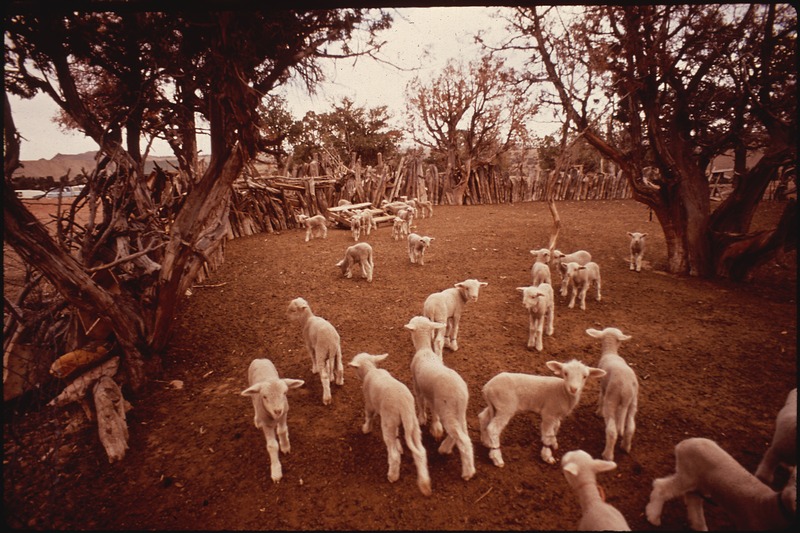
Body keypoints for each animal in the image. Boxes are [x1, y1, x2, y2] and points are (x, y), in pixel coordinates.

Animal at [348, 354, 432, 494]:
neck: (371, 370)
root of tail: (403, 405)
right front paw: (399, 444)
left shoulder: (369, 404)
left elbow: (369, 416)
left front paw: (366, 429)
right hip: (412, 423)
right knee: (420, 452)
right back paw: (424, 483)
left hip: (388, 422)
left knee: (394, 454)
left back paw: (393, 476)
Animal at [406, 314, 476, 480]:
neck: (424, 349)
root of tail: (462, 393)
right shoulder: (433, 397)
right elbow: (433, 411)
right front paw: (435, 428)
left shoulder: (417, 386)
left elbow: (420, 403)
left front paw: (422, 419)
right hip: (457, 411)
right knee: (462, 433)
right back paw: (445, 448)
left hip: (448, 409)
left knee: (462, 438)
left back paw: (468, 472)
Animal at [476, 358, 608, 466]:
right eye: (565, 373)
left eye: (585, 376)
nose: (574, 389)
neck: (562, 392)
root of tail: (487, 388)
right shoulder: (548, 413)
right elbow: (548, 434)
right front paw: (547, 456)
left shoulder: (556, 414)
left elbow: (555, 428)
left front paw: (554, 444)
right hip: (505, 406)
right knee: (493, 428)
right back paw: (497, 458)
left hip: (495, 406)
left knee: (483, 418)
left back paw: (486, 442)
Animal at [584, 326, 640, 460]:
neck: (611, 352)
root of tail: (626, 390)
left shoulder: (603, 385)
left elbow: (601, 397)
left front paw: (598, 413)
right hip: (633, 401)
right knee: (630, 427)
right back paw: (625, 447)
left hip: (612, 399)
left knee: (612, 431)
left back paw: (607, 455)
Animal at [648, 436, 796, 528]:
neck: (767, 505)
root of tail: (683, 444)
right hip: (688, 476)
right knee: (662, 488)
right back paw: (653, 516)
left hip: (699, 482)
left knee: (693, 500)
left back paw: (699, 525)